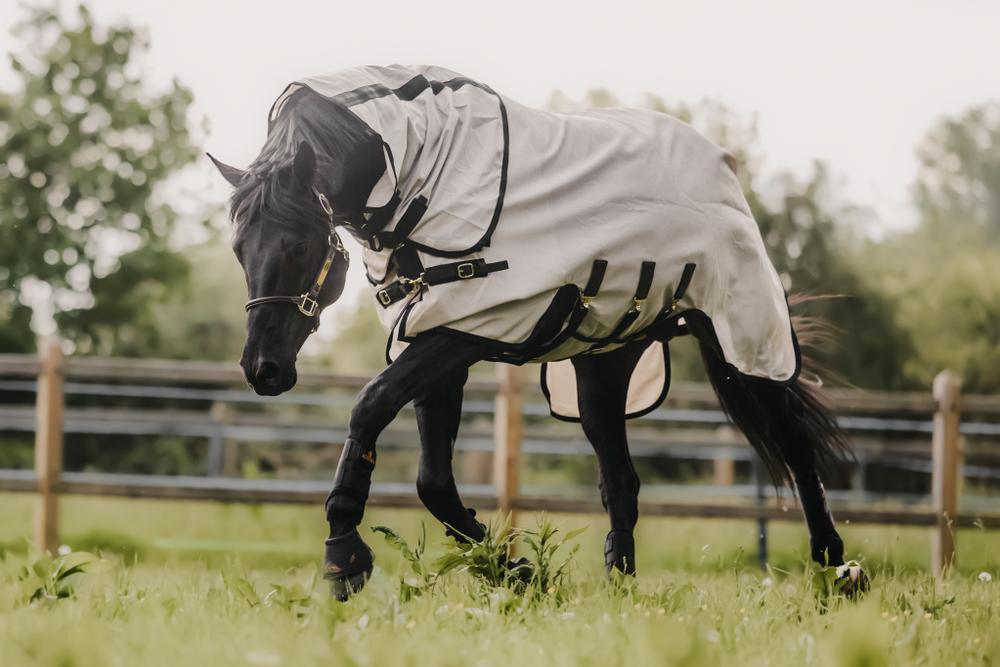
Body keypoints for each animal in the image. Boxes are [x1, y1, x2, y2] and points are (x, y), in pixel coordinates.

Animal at [211, 78, 860, 600]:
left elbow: (369, 407)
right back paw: (619, 590)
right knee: (621, 481)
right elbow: (432, 479)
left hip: (742, 344)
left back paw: (836, 574)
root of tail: (722, 162)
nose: (263, 369)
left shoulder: (466, 330)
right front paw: (515, 570)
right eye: (239, 248)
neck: (419, 169)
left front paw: (344, 556)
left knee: (797, 450)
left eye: (299, 244)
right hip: (603, 367)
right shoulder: (435, 331)